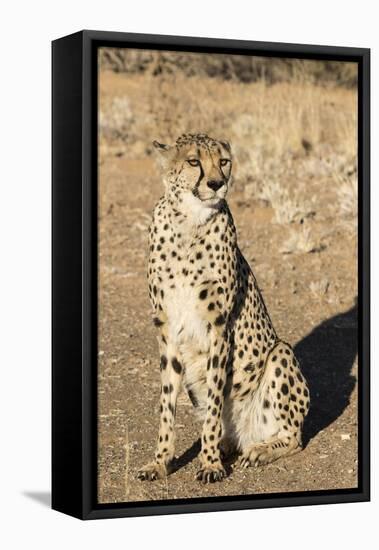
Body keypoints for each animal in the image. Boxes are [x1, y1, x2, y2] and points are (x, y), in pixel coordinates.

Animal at [138, 136, 310, 486]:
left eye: (224, 161)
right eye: (193, 162)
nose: (217, 183)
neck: (189, 221)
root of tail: (243, 435)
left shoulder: (218, 327)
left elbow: (216, 397)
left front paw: (209, 464)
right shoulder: (167, 328)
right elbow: (166, 403)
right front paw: (160, 462)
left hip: (281, 352)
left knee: (294, 437)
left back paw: (259, 450)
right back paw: (227, 445)